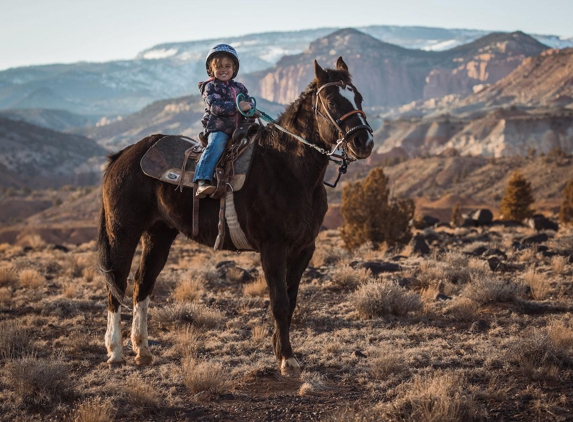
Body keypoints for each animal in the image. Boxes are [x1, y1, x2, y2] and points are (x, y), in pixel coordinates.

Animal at [99, 56, 374, 376]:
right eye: (331, 100)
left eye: (359, 97)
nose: (364, 141)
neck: (287, 168)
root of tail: (123, 155)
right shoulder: (273, 248)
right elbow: (280, 302)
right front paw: (287, 359)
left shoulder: (305, 248)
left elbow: (291, 300)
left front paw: (280, 349)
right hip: (124, 233)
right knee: (117, 285)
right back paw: (115, 351)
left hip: (159, 235)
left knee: (142, 285)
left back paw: (142, 350)